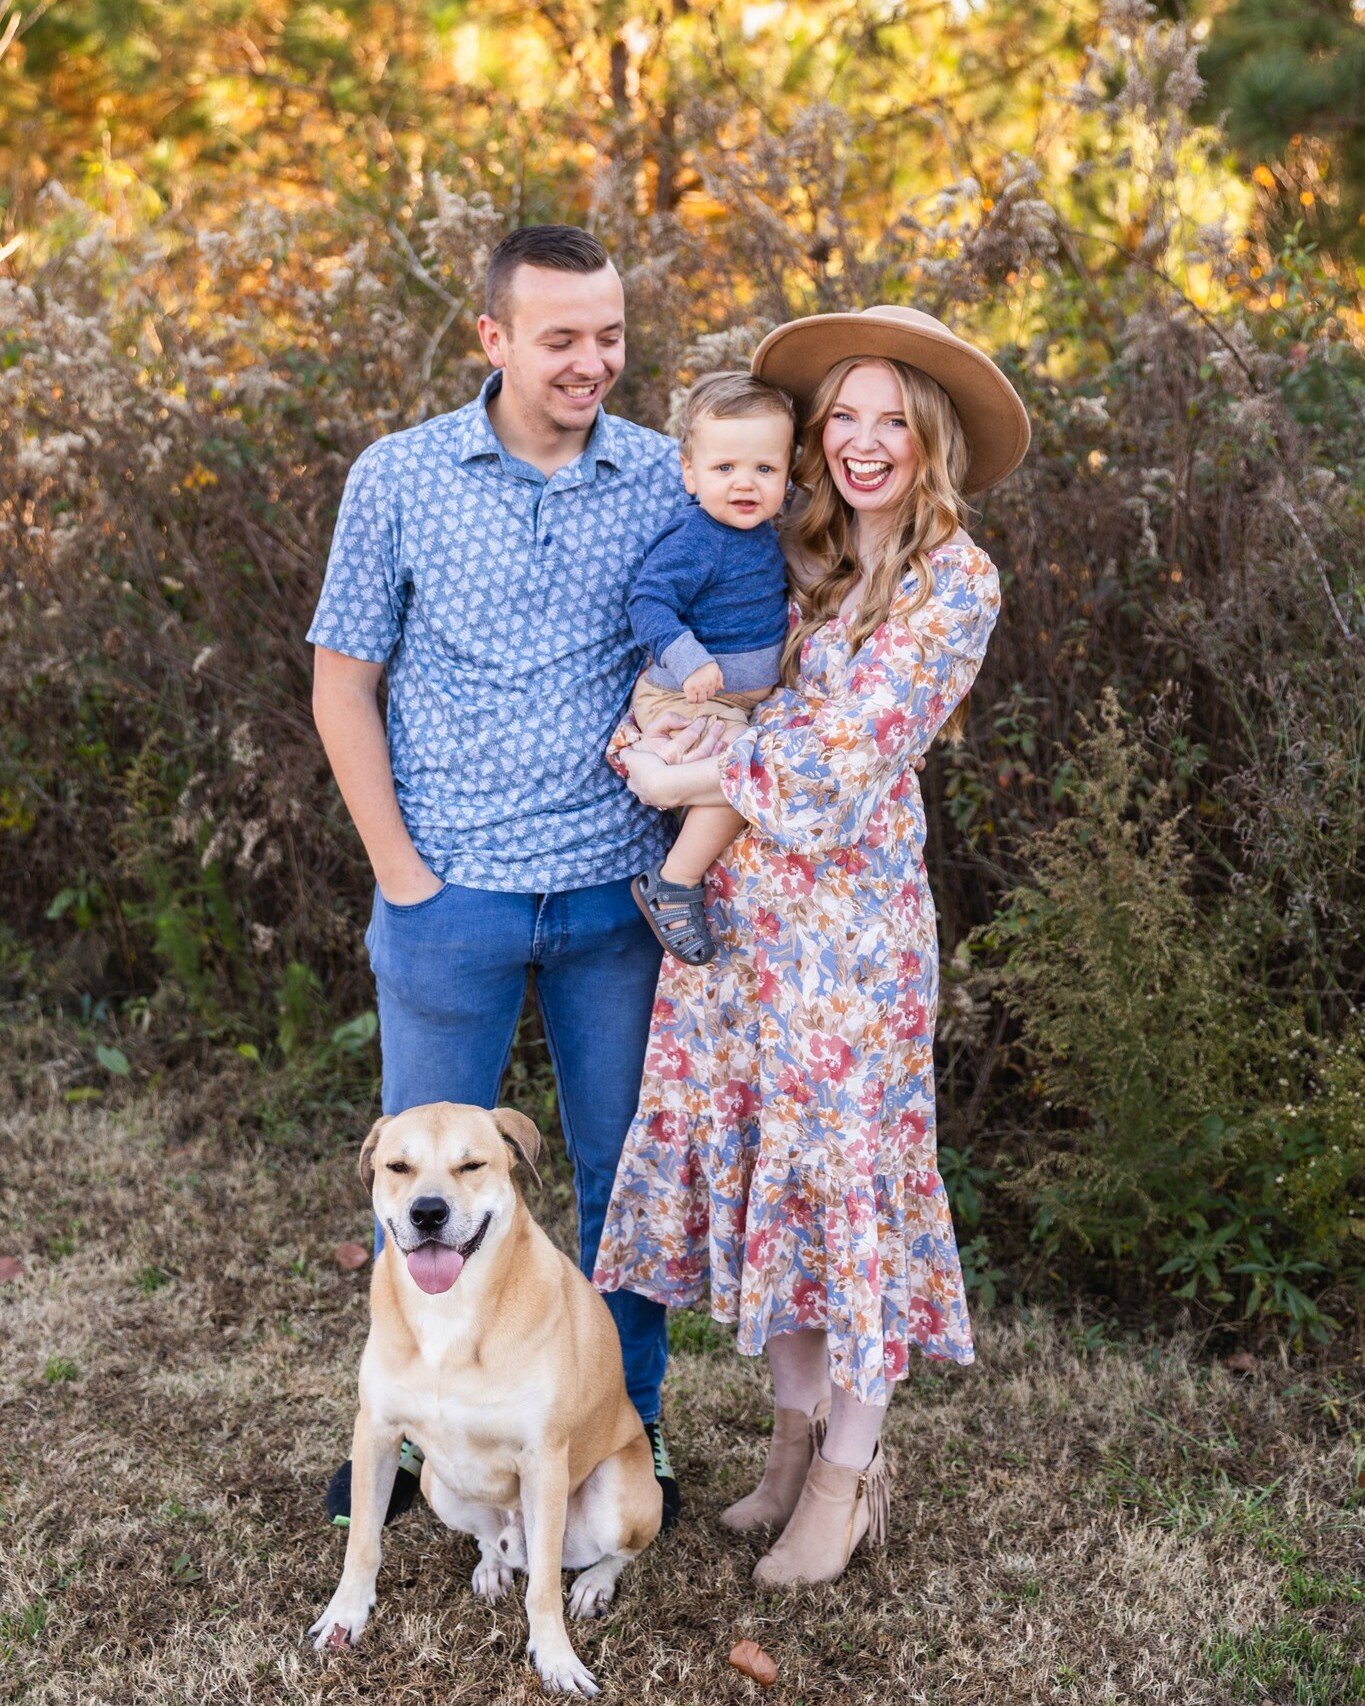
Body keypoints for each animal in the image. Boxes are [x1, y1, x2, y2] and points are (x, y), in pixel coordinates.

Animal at [313, 1105, 665, 1692]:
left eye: (471, 1165)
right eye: (398, 1167)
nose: (428, 1212)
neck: (449, 1313)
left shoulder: (544, 1459)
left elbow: (543, 1586)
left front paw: (557, 1659)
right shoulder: (377, 1432)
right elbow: (362, 1542)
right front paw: (345, 1615)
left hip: (619, 1494)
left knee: (618, 1552)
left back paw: (594, 1583)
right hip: (437, 1481)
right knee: (487, 1537)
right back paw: (494, 1567)